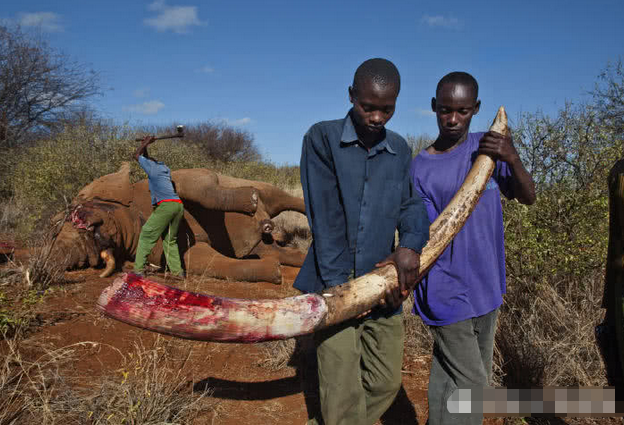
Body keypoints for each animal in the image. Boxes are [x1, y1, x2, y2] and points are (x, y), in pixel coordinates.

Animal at [51, 164, 308, 284]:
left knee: (282, 198)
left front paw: (252, 200)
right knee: (274, 249)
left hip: (267, 189)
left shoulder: (181, 178)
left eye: (78, 216)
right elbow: (200, 260)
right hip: (262, 243)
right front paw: (274, 271)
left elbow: (196, 184)